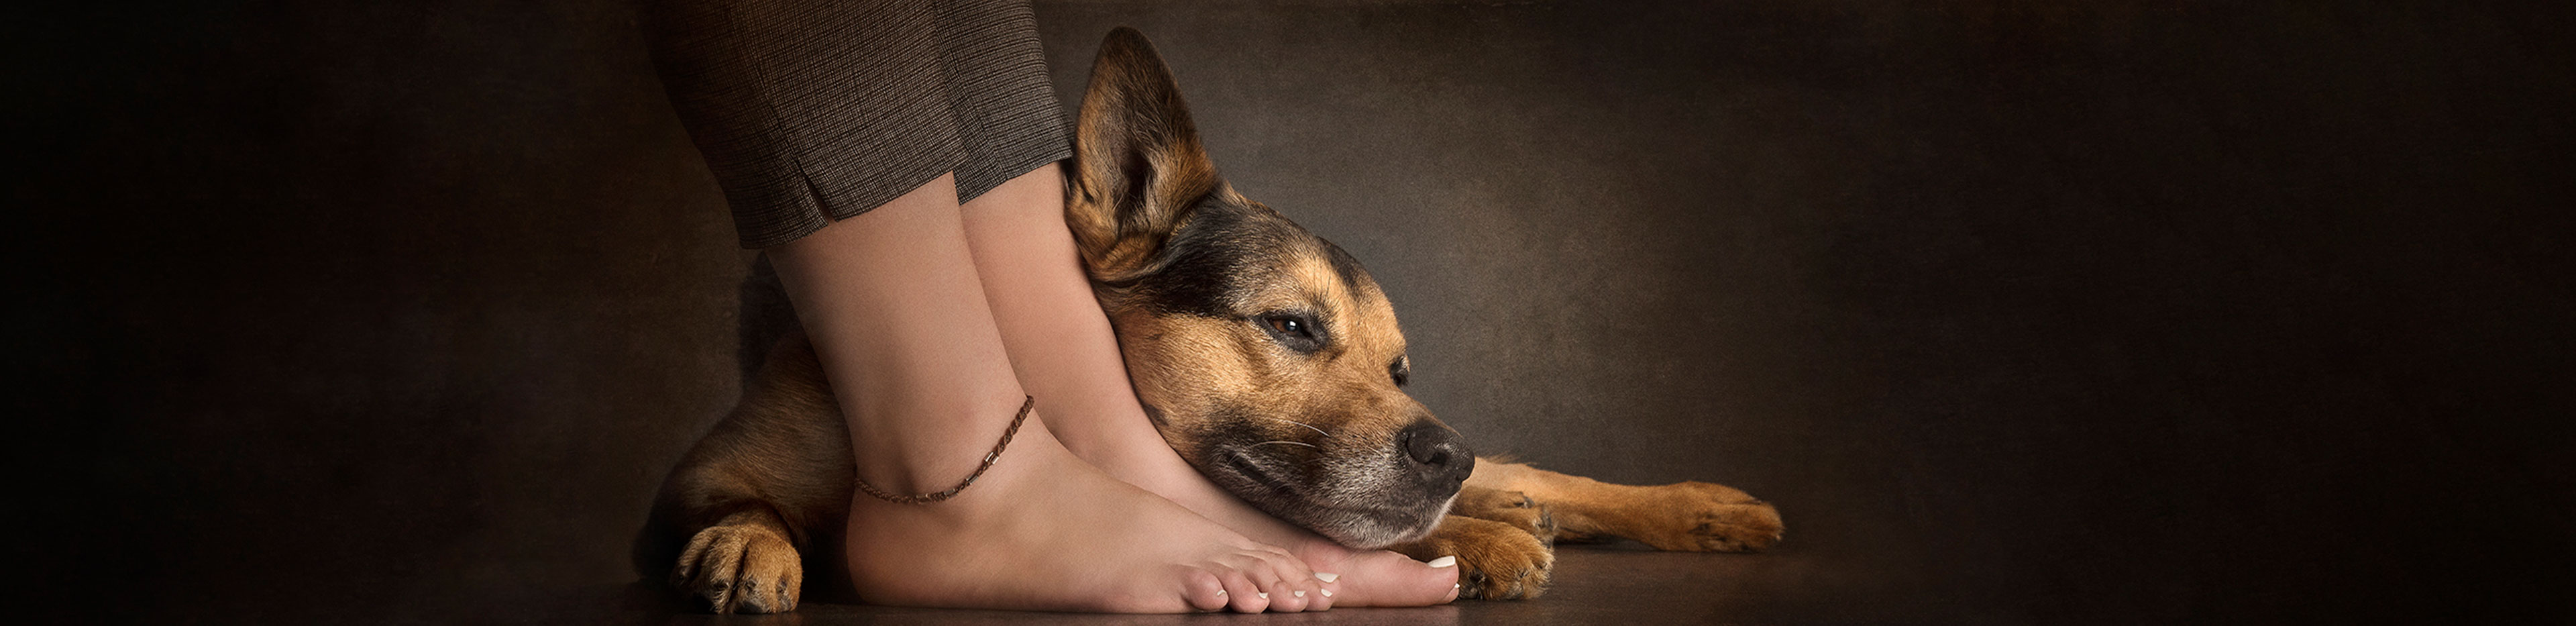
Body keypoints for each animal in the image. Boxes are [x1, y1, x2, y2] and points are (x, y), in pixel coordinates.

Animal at [635, 27, 1784, 614]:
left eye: (1400, 369)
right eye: (1293, 328)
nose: (1442, 451)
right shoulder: (693, 479)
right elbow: (742, 504)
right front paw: (747, 541)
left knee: (1535, 473)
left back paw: (1682, 510)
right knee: (1511, 486)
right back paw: (1509, 523)